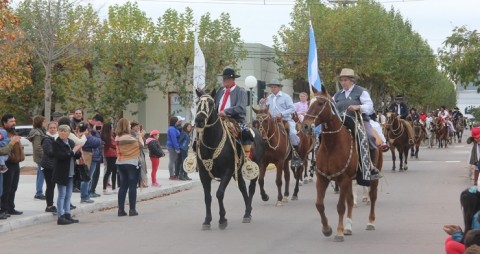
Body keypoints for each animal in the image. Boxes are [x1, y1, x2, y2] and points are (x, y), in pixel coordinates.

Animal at [193, 89, 264, 230]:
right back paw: (248, 211)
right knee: (243, 187)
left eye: (211, 103)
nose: (199, 120)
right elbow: (207, 197)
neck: (212, 142)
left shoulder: (227, 171)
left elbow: (219, 193)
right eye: (197, 102)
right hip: (238, 171)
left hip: (255, 167)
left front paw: (222, 219)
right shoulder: (203, 174)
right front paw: (207, 220)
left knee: (251, 188)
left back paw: (247, 213)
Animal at [300, 87, 382, 242]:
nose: (305, 126)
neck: (332, 146)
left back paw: (370, 222)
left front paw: (338, 232)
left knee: (373, 197)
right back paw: (348, 227)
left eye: (320, 103)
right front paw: (327, 229)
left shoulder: (343, 179)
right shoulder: (323, 179)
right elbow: (319, 204)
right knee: (350, 200)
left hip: (371, 179)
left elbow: (340, 207)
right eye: (309, 102)